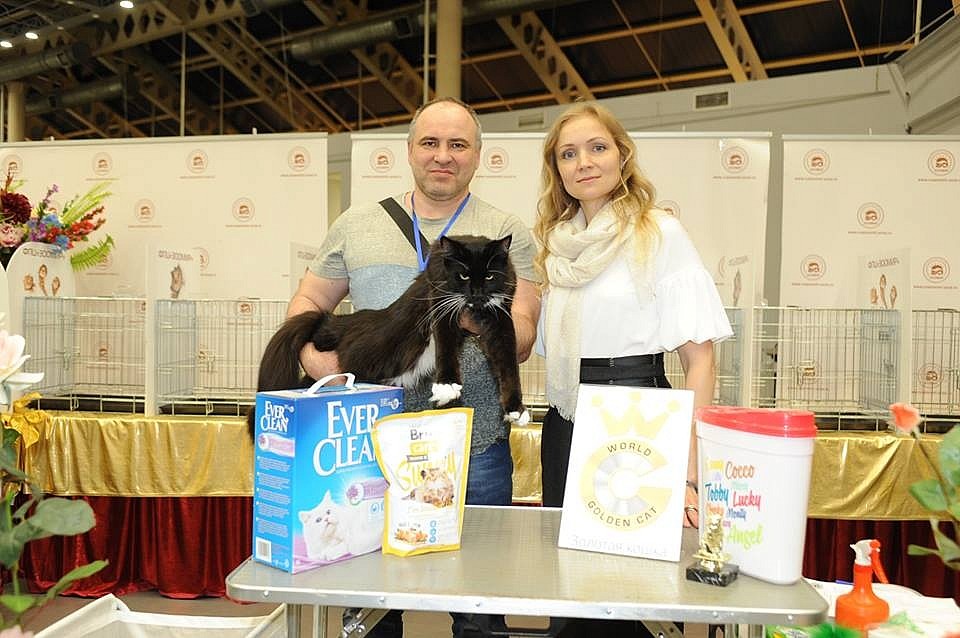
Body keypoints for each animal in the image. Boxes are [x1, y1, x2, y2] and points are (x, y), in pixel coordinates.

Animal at [249, 234, 528, 435]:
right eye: (464, 274)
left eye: (490, 276)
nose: (477, 293)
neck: (474, 307)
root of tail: (333, 319)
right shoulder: (440, 305)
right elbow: (446, 348)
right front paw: (447, 386)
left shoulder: (501, 320)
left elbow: (509, 366)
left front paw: (516, 409)